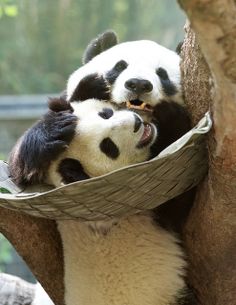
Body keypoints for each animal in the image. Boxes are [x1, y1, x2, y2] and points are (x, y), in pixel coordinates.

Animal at [8, 96, 195, 304]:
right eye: (109, 147)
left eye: (106, 114)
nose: (137, 123)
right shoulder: (138, 204)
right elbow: (178, 196)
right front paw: (171, 115)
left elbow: (16, 171)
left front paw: (52, 131)